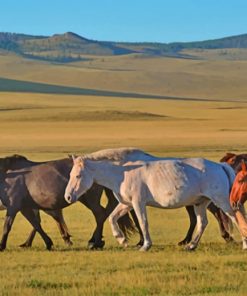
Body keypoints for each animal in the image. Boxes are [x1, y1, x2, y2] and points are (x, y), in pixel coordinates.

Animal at [0, 156, 135, 251]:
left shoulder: (13, 206)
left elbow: (7, 226)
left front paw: (2, 246)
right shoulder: (25, 207)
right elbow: (36, 224)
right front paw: (47, 243)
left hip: (89, 199)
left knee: (100, 214)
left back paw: (95, 242)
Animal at [64, 151, 247, 251]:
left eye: (78, 176)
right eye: (70, 174)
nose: (68, 197)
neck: (123, 172)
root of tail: (220, 166)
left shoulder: (138, 203)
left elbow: (143, 223)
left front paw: (145, 245)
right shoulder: (127, 204)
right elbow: (112, 218)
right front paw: (122, 240)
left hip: (222, 201)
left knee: (236, 218)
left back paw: (244, 244)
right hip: (200, 203)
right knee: (203, 223)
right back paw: (191, 245)